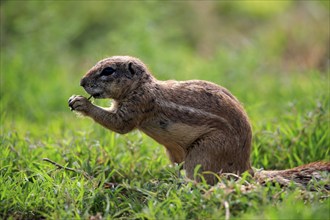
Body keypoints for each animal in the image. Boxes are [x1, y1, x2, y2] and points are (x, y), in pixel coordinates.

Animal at [68, 55, 328, 186]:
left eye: (108, 71)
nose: (81, 82)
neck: (141, 86)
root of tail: (246, 167)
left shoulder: (137, 106)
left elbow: (120, 125)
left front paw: (81, 103)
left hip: (204, 154)